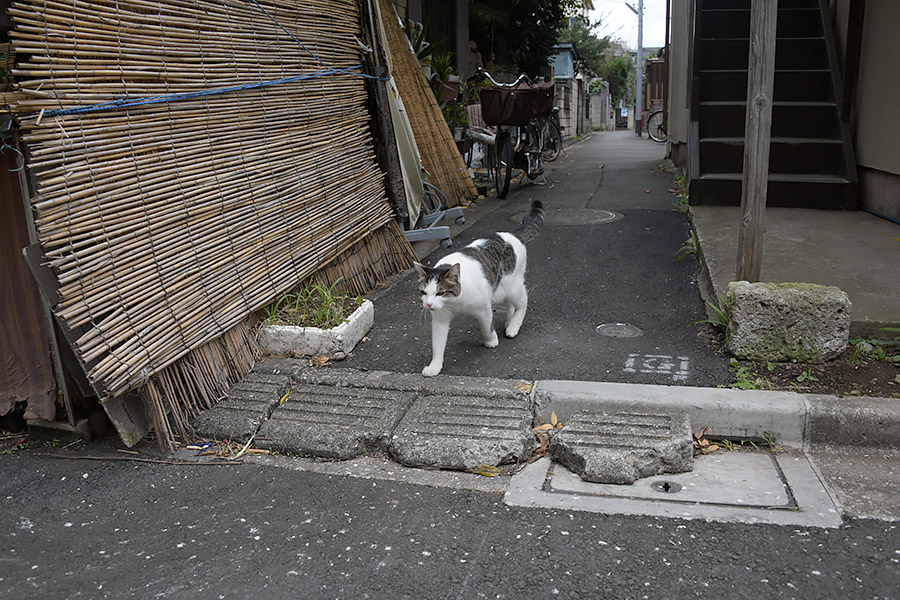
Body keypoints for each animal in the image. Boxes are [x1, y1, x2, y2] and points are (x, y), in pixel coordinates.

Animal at [414, 204, 544, 378]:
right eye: (423, 292)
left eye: (440, 293)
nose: (428, 305)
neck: (454, 302)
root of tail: (511, 235)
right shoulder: (440, 319)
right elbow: (437, 345)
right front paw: (434, 366)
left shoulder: (484, 308)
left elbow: (487, 327)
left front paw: (491, 341)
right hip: (499, 289)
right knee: (510, 304)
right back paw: (509, 320)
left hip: (511, 286)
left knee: (523, 303)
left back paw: (513, 326)